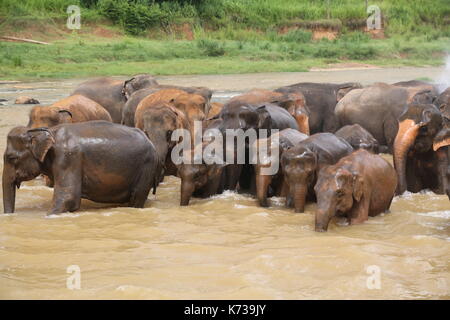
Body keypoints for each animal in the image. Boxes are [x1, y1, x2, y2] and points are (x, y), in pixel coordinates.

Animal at [2, 120, 161, 215]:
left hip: (146, 168)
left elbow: (68, 198)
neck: (46, 131)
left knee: (137, 197)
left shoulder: (68, 157)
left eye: (11, 158)